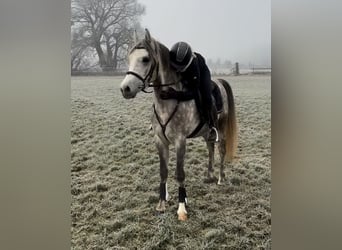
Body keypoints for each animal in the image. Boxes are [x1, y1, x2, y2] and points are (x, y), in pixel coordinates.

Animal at [119, 29, 236, 221]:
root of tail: (219, 82)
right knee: (210, 148)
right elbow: (163, 171)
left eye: (145, 59)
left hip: (221, 128)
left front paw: (182, 208)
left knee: (221, 150)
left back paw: (220, 177)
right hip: (207, 132)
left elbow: (180, 174)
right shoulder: (160, 141)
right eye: (129, 58)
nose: (125, 89)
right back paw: (209, 175)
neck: (167, 101)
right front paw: (162, 202)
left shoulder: (180, 141)